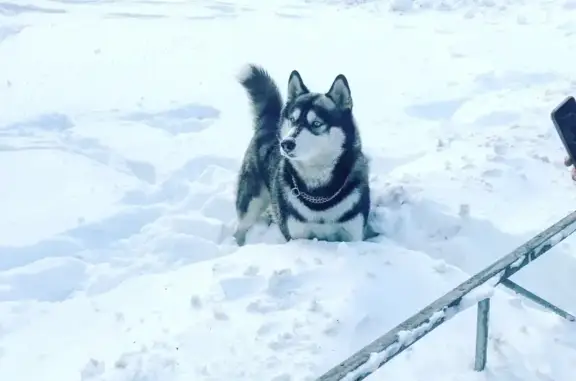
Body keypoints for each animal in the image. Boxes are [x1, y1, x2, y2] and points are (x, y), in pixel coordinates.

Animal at [233, 63, 372, 245]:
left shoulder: (353, 237)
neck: (319, 194)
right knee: (241, 227)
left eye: (316, 123)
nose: (286, 143)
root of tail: (270, 123)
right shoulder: (297, 237)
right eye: (293, 120)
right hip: (251, 203)